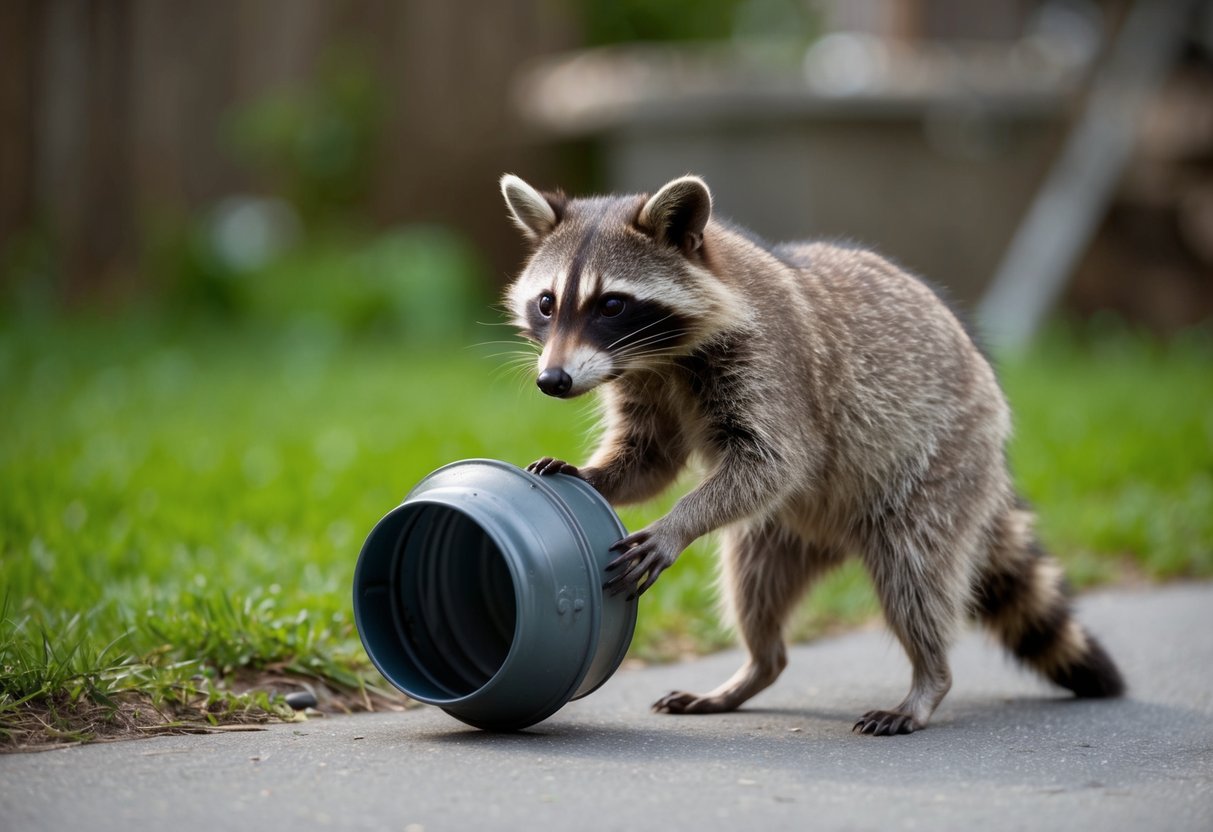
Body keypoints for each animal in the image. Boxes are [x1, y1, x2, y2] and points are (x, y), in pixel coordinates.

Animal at [499, 173, 1124, 735]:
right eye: (548, 303)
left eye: (611, 305)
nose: (552, 381)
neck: (662, 355)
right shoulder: (645, 381)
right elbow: (649, 461)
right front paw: (594, 474)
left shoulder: (772, 362)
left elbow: (777, 461)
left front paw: (678, 522)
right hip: (783, 531)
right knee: (752, 583)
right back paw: (756, 667)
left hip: (943, 464)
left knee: (916, 575)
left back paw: (930, 678)